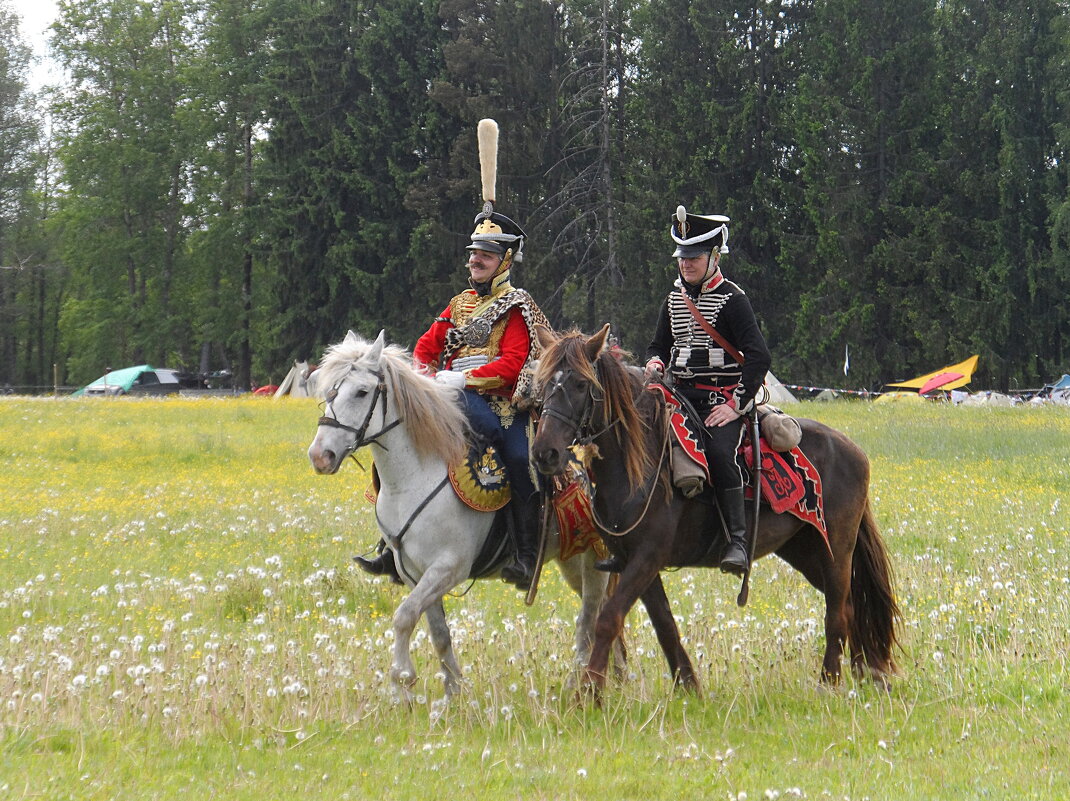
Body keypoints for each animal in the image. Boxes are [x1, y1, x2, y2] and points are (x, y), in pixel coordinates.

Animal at [306, 327, 616, 697]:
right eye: (329, 390)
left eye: (362, 391)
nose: (320, 456)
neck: (415, 476)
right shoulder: (414, 572)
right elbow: (438, 633)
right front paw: (454, 691)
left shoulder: (447, 567)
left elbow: (404, 616)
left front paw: (401, 682)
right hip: (571, 561)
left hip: (595, 559)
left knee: (590, 618)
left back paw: (580, 683)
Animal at [530, 325, 898, 692]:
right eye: (544, 383)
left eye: (581, 384)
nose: (545, 453)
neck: (638, 463)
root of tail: (852, 449)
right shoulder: (635, 562)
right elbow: (665, 626)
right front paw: (690, 689)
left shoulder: (647, 558)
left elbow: (607, 620)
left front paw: (589, 692)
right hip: (804, 550)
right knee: (853, 604)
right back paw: (867, 673)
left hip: (835, 548)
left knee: (838, 610)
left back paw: (830, 681)